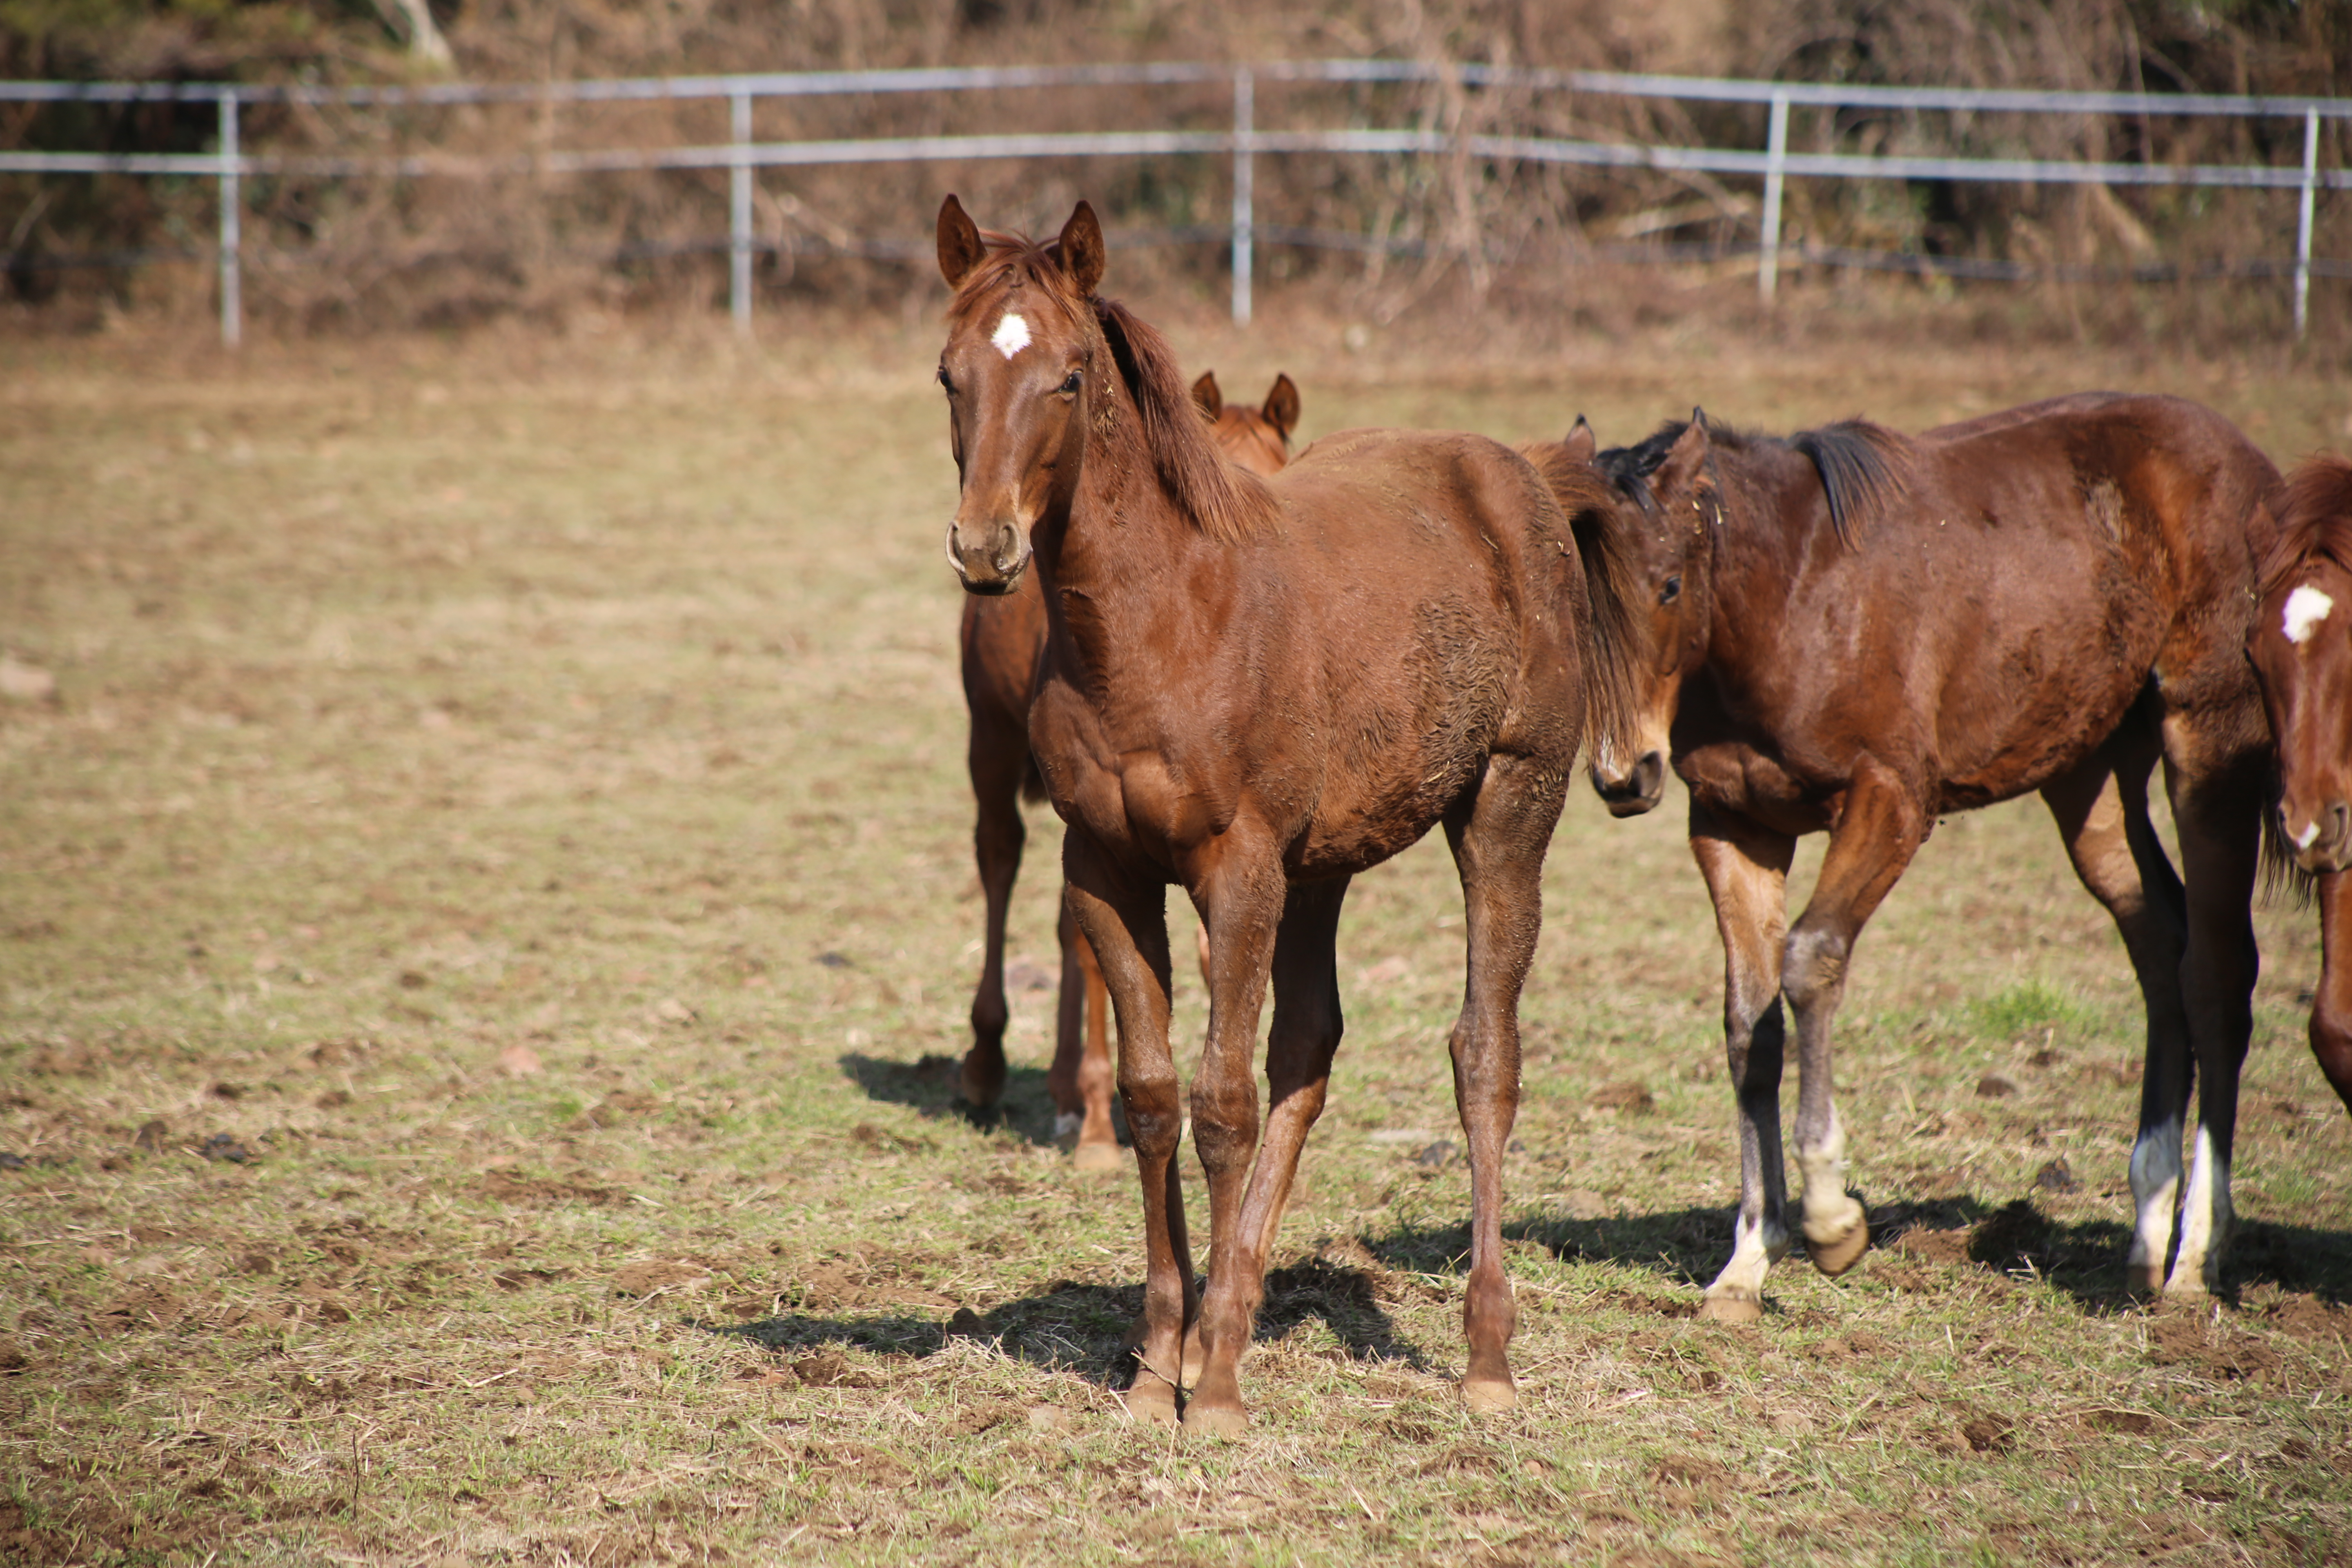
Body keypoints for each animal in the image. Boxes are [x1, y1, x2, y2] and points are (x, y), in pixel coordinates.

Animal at [1561, 392, 2276, 1316]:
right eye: (1575, 602)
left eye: (1669, 586)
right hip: (2090, 778)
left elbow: (1809, 962)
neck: (1792, 597)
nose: (1625, 775)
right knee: (2161, 947)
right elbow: (1749, 1021)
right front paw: (1746, 1263)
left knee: (2216, 971)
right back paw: (2146, 1238)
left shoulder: (1893, 800)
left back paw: (2195, 1259)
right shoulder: (1734, 823)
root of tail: (2255, 468)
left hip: (2206, 743)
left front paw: (1832, 1219)